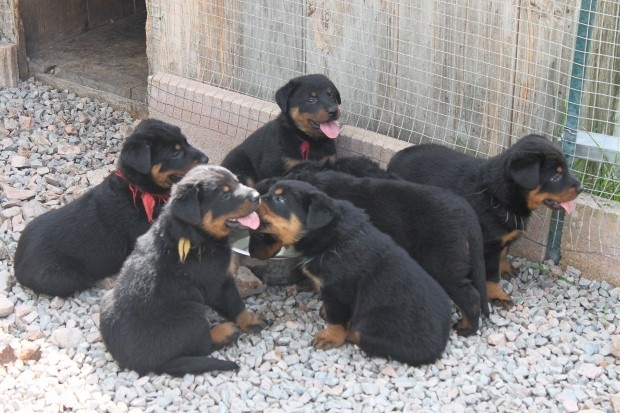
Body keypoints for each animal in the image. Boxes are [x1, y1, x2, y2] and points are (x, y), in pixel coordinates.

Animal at [13, 117, 208, 294]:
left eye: (186, 141)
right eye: (176, 153)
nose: (206, 159)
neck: (140, 190)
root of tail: (17, 261)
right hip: (68, 277)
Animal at [100, 165, 266, 376]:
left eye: (237, 181)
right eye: (224, 195)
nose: (257, 196)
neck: (193, 234)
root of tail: (143, 365)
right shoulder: (218, 282)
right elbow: (235, 304)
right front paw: (249, 320)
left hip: (106, 299)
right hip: (191, 311)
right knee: (202, 346)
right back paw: (224, 332)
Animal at [256, 180, 450, 364]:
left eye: (280, 199)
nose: (255, 197)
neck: (331, 241)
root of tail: (439, 347)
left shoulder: (337, 292)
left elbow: (336, 320)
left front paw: (330, 338)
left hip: (377, 320)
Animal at [390, 134, 584, 304]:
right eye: (555, 176)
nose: (581, 188)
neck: (496, 196)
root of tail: (395, 158)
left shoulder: (501, 240)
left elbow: (503, 254)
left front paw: (505, 269)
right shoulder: (488, 244)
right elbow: (490, 275)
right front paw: (498, 296)